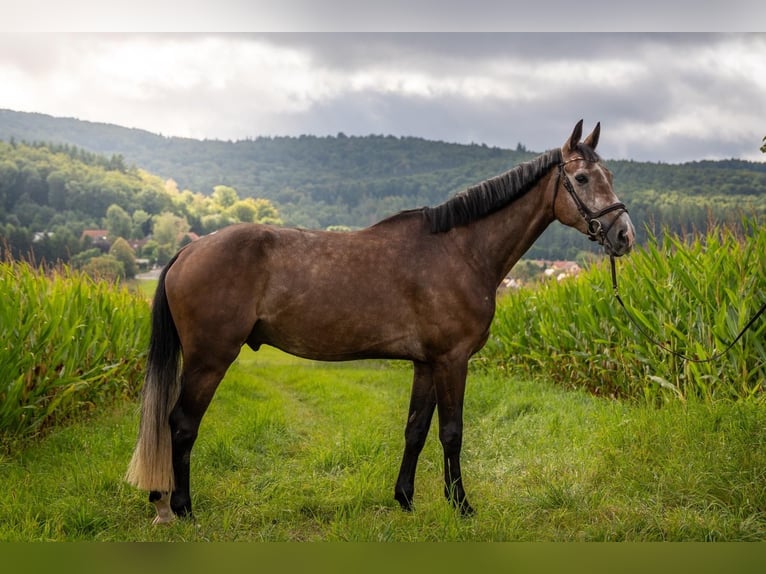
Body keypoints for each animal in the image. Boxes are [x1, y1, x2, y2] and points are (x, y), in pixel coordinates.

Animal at [126, 120, 635, 524]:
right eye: (582, 177)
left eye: (610, 175)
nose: (625, 235)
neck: (461, 250)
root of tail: (188, 249)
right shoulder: (452, 360)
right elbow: (452, 433)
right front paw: (461, 506)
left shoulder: (426, 363)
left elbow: (415, 430)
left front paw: (405, 499)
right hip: (210, 359)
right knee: (181, 424)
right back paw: (180, 508)